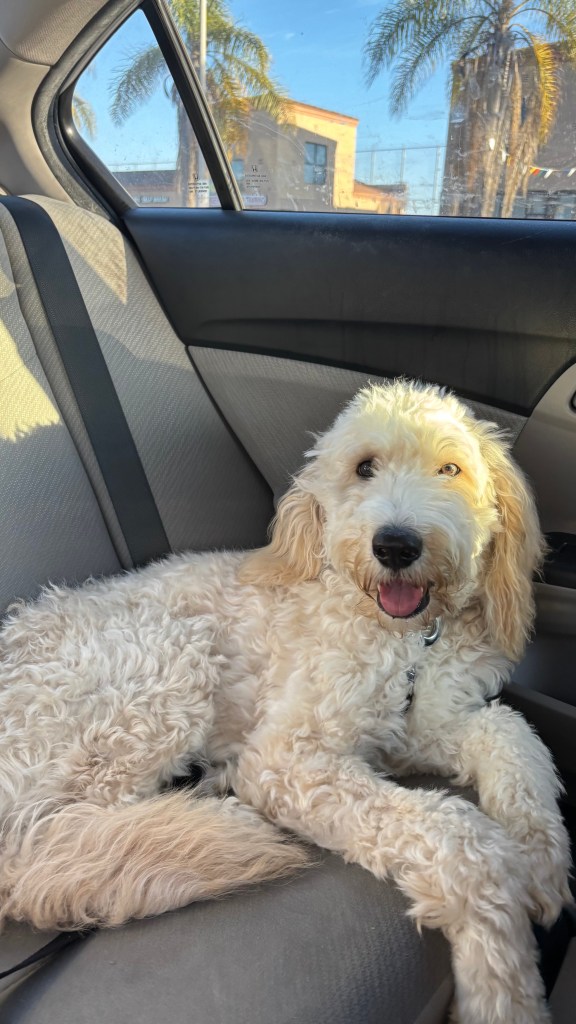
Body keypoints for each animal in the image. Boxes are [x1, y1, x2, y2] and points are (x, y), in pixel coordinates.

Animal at [0, 380, 570, 1023]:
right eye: (364, 467)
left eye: (451, 469)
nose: (396, 545)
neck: (406, 643)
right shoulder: (286, 760)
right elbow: (457, 836)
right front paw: (503, 983)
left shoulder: (421, 726)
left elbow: (510, 733)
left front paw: (539, 860)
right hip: (160, 661)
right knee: (45, 851)